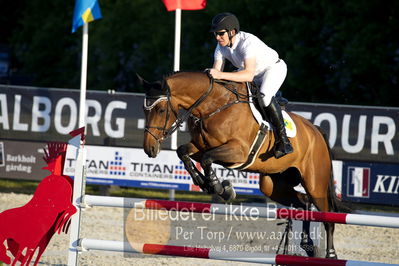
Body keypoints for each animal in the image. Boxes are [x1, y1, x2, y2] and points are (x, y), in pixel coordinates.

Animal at [141, 70, 346, 258]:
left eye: (160, 110)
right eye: (144, 111)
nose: (149, 149)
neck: (213, 106)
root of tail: (316, 131)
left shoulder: (238, 151)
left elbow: (207, 158)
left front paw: (220, 187)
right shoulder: (200, 146)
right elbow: (183, 151)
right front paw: (206, 183)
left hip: (314, 183)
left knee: (327, 216)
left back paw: (330, 254)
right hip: (273, 185)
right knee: (303, 203)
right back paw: (307, 244)